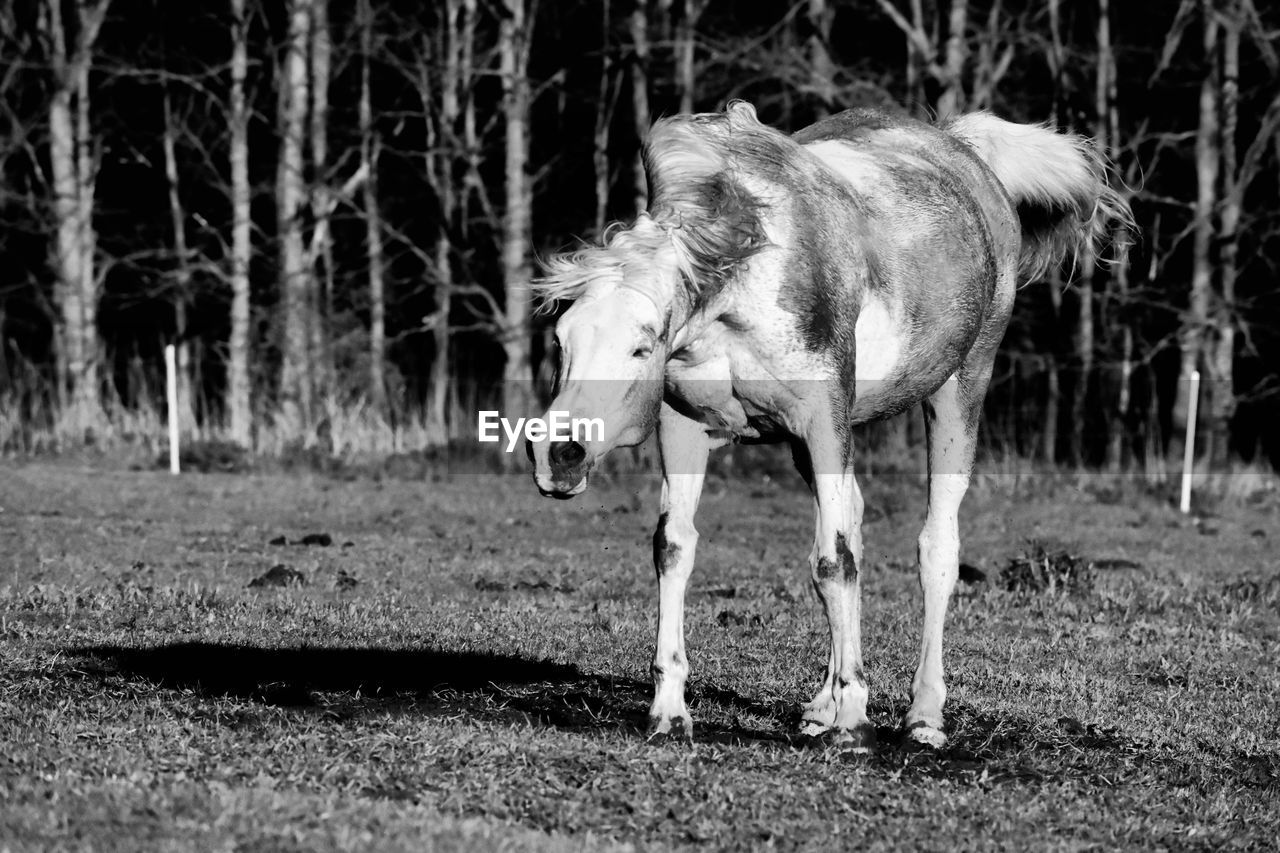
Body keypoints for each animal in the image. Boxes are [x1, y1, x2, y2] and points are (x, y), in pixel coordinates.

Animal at [524, 99, 1126, 747]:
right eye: (561, 341)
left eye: (640, 347)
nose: (558, 454)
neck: (742, 284)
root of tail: (965, 153)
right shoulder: (685, 424)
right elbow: (675, 547)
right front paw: (669, 711)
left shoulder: (823, 418)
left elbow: (834, 562)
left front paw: (855, 720)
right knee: (854, 522)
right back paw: (822, 704)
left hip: (961, 387)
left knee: (936, 549)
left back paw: (923, 715)